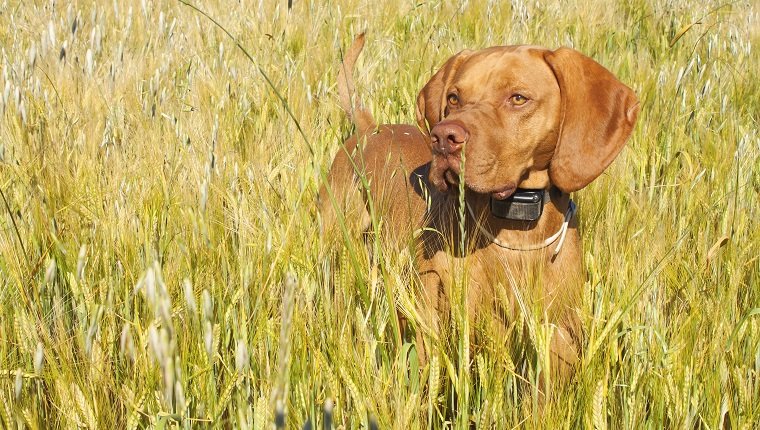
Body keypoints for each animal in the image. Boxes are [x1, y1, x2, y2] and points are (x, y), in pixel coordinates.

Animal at [318, 32, 640, 376]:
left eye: (518, 98)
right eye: (454, 98)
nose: (443, 138)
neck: (515, 226)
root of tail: (370, 126)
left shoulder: (557, 337)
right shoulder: (433, 326)